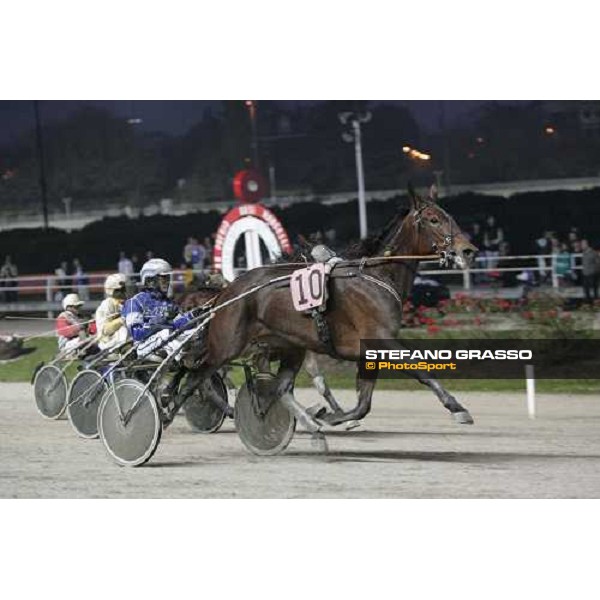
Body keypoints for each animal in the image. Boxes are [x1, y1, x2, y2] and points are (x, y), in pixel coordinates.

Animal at [183, 188, 478, 432]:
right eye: (433, 219)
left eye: (448, 216)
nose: (468, 250)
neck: (378, 277)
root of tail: (225, 293)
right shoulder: (380, 339)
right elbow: (422, 370)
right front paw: (457, 407)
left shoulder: (366, 351)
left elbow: (362, 404)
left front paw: (331, 417)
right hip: (230, 345)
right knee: (201, 376)